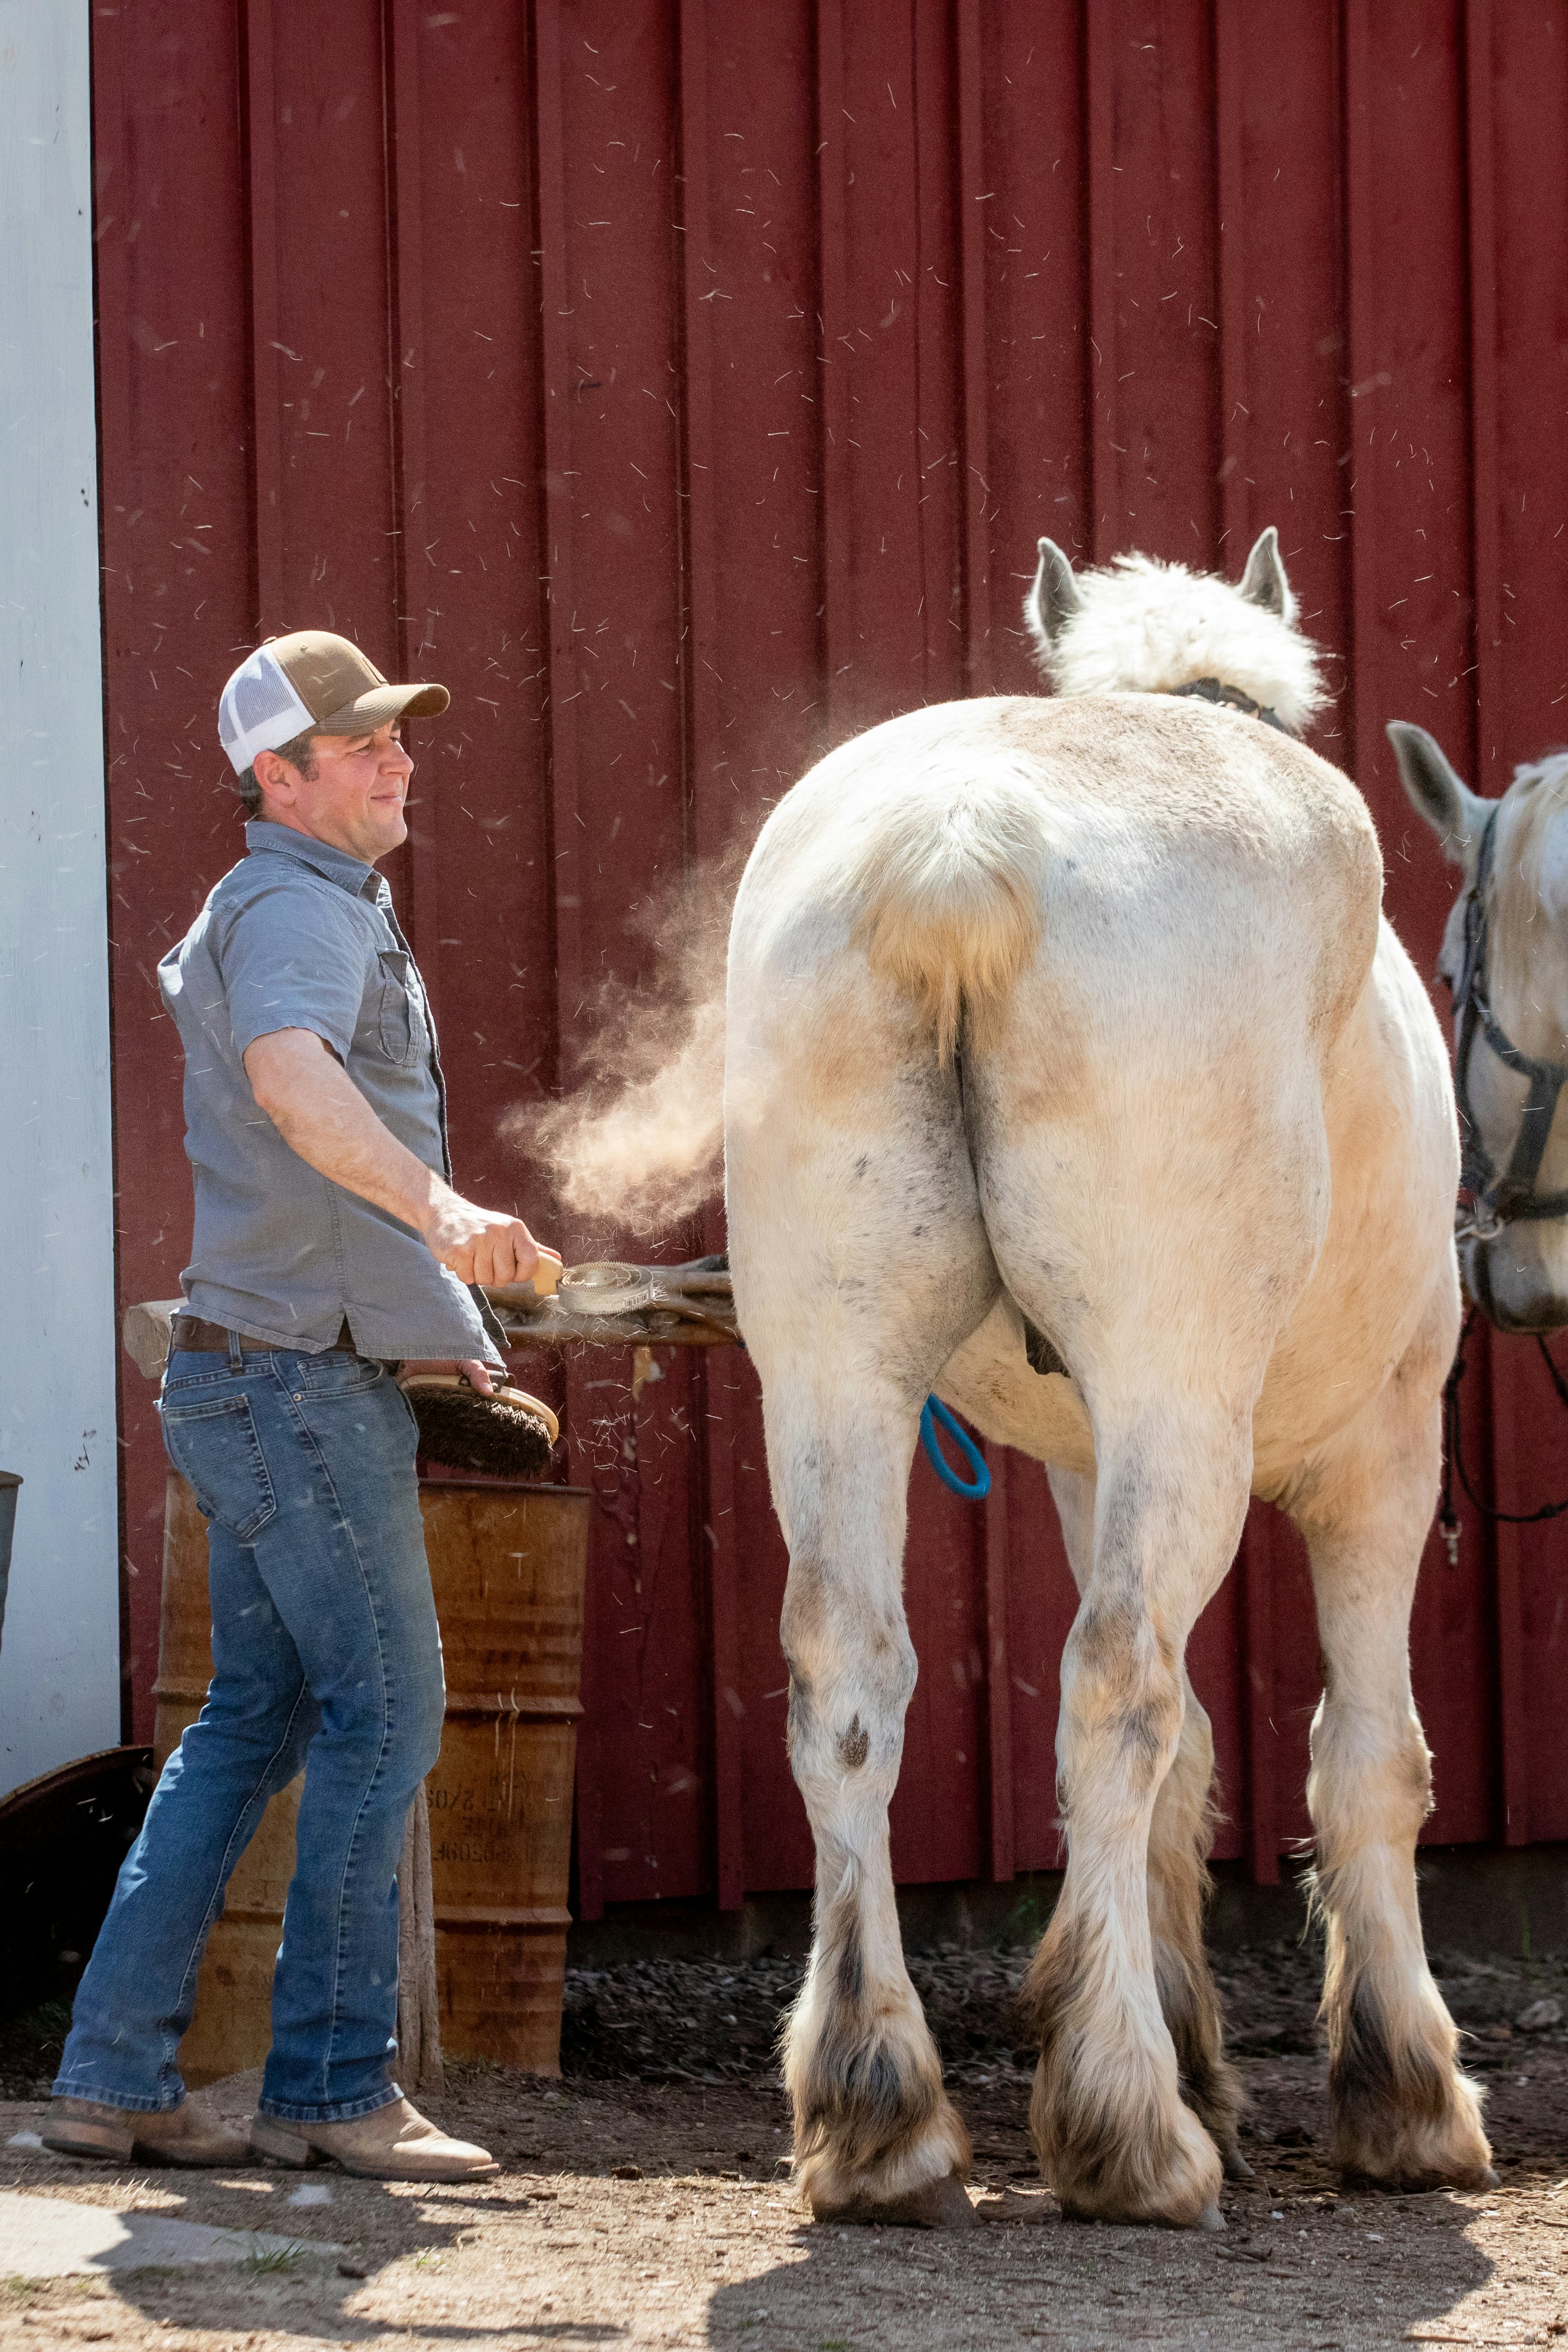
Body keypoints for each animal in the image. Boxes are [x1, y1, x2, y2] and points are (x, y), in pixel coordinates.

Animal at [722, 530, 1495, 2230]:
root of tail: (952, 854)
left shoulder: (1080, 1463)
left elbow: (1193, 1753)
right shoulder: (1383, 1453)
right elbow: (1368, 1756)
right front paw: (1401, 2090)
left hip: (832, 1372)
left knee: (848, 1676)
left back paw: (879, 2109)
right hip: (1176, 1393)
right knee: (1112, 1680)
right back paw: (1128, 2123)